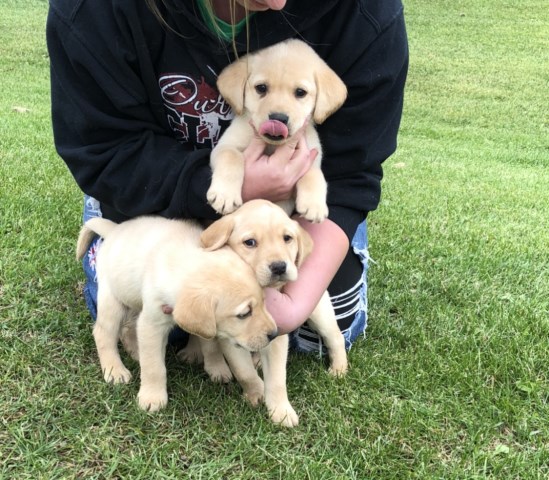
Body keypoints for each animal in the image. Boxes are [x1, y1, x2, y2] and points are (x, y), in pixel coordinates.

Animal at [75, 216, 276, 410]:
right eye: (244, 314)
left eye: (263, 301)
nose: (274, 334)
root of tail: (114, 230)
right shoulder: (153, 323)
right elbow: (154, 367)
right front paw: (152, 398)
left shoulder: (208, 324)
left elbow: (214, 347)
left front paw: (218, 369)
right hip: (112, 299)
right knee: (103, 333)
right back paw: (115, 370)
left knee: (128, 328)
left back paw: (136, 352)